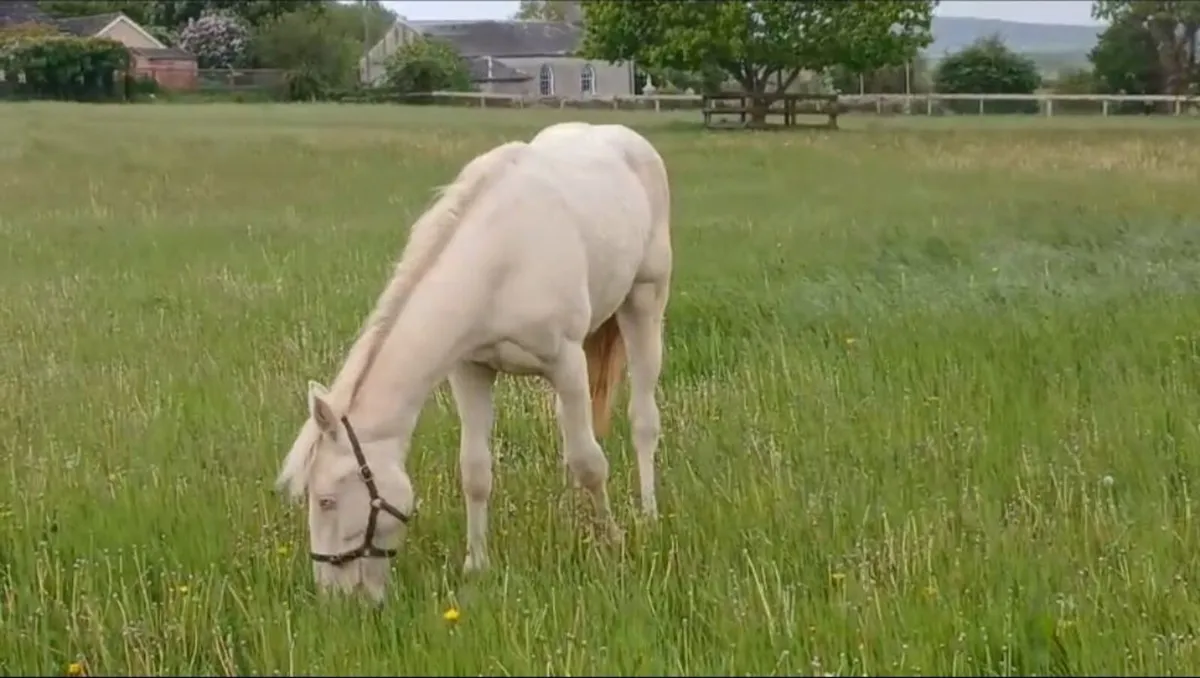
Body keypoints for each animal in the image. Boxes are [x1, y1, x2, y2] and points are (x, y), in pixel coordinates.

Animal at [275, 121, 673, 602]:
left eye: (327, 499)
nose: (336, 599)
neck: (501, 259)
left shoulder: (567, 363)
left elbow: (590, 464)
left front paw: (611, 543)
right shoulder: (471, 371)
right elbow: (476, 471)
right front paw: (476, 565)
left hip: (645, 302)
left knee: (642, 421)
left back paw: (648, 513)